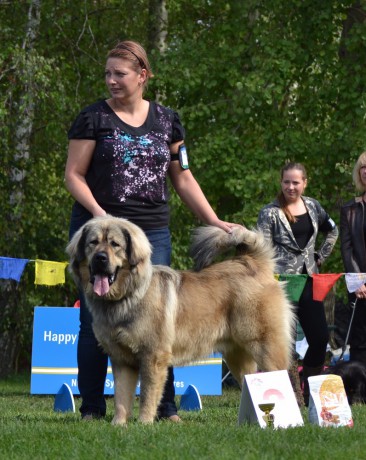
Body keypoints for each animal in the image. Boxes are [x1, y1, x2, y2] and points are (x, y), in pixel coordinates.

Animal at [66, 216, 294, 424]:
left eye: (115, 245)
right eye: (93, 243)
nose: (100, 258)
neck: (128, 295)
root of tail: (252, 263)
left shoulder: (152, 356)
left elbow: (147, 395)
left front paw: (144, 424)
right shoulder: (121, 359)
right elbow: (121, 397)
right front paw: (119, 425)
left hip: (265, 346)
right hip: (237, 355)